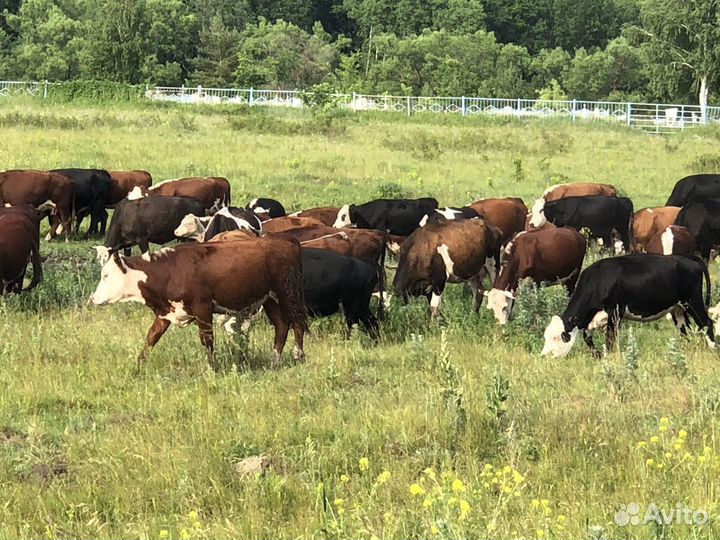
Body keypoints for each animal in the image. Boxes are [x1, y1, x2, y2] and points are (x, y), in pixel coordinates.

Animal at [89, 238, 307, 370]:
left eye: (105, 275)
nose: (93, 299)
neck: (170, 271)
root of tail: (286, 240)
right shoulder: (166, 312)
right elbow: (151, 337)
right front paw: (138, 366)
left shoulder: (203, 308)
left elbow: (207, 339)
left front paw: (214, 368)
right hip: (270, 299)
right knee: (281, 326)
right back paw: (273, 362)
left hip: (288, 294)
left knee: (298, 323)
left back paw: (299, 356)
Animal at [541, 254, 715, 358]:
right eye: (545, 336)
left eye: (557, 337)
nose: (544, 356)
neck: (598, 281)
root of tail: (689, 258)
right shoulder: (591, 318)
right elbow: (587, 337)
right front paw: (597, 355)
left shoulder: (615, 311)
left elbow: (610, 338)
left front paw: (610, 357)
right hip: (676, 308)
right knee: (684, 329)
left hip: (692, 301)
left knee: (707, 323)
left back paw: (713, 348)